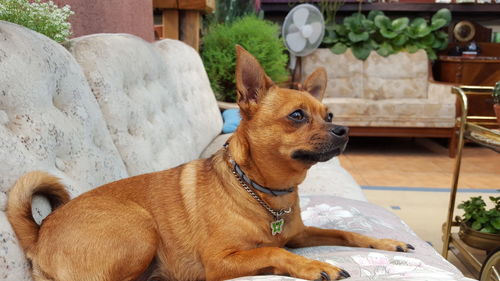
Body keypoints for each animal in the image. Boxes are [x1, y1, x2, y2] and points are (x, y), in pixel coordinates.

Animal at [6, 46, 414, 280]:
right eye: (297, 116)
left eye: (328, 115)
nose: (344, 130)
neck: (263, 193)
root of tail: (39, 234)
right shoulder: (222, 261)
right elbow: (272, 250)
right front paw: (314, 265)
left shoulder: (299, 235)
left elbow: (343, 232)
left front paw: (385, 242)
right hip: (140, 229)